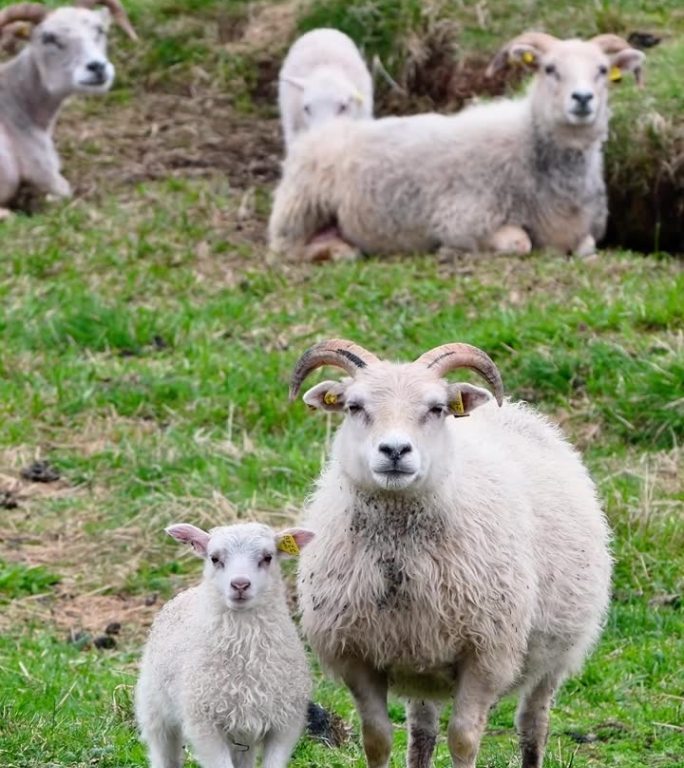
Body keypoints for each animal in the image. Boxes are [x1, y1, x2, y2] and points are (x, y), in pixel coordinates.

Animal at [134, 520, 316, 768]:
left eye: (268, 557)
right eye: (214, 558)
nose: (240, 584)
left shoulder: (286, 723)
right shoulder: (204, 724)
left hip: (241, 729)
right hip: (154, 706)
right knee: (163, 752)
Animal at [268, 32, 648, 260]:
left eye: (603, 70)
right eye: (550, 69)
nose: (582, 99)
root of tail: (321, 132)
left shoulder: (582, 234)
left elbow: (586, 247)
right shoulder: (463, 219)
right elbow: (519, 243)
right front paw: (449, 252)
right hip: (300, 208)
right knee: (285, 248)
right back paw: (337, 249)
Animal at [292, 342, 612, 768]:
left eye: (437, 408)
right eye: (354, 407)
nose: (395, 450)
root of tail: (511, 409)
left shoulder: (486, 656)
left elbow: (463, 739)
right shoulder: (357, 658)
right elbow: (376, 740)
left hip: (555, 654)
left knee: (533, 726)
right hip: (420, 657)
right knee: (422, 734)